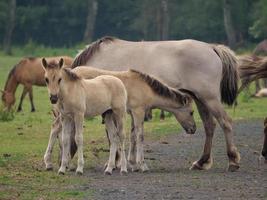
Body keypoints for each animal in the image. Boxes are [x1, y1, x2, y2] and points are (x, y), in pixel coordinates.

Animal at [70, 36, 241, 172]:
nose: (67, 164)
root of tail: (211, 47)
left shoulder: (114, 110)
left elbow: (115, 135)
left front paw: (117, 163)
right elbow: (131, 134)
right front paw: (131, 162)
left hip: (209, 98)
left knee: (225, 122)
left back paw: (232, 160)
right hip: (201, 100)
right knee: (209, 126)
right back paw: (201, 162)